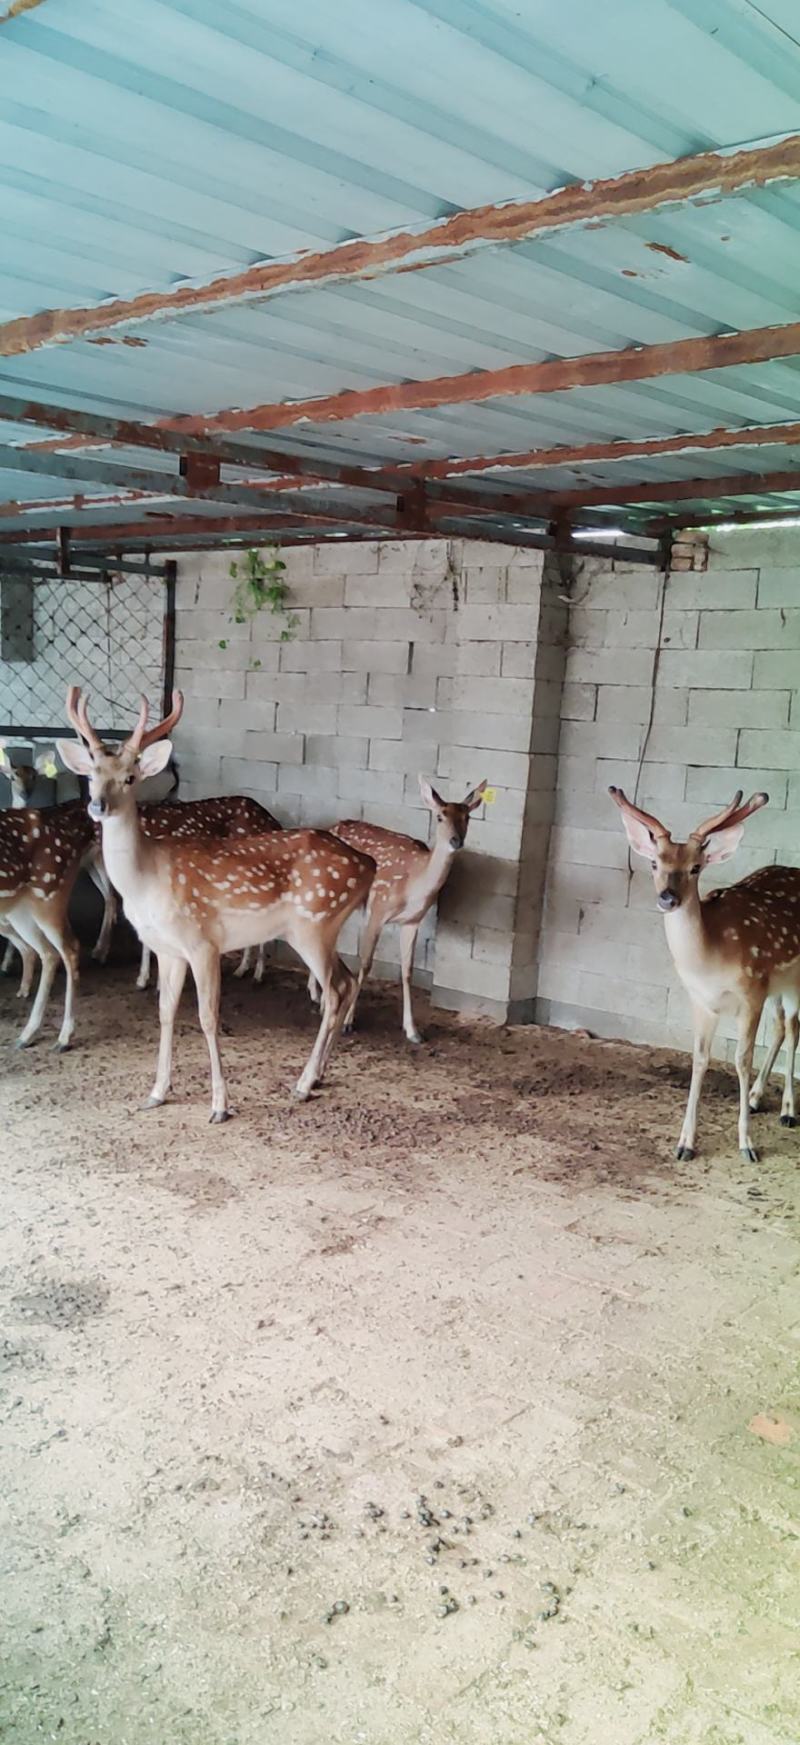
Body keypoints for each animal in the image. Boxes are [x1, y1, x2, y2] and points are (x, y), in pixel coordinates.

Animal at [0, 799, 91, 1050]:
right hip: (21, 910)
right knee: (47, 953)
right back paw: (26, 1034)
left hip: (49, 895)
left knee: (70, 949)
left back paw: (64, 1037)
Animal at [57, 688, 376, 1120]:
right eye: (92, 775)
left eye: (130, 777)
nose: (98, 806)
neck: (147, 880)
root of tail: (369, 864)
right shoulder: (167, 949)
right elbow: (165, 1011)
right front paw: (157, 1092)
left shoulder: (203, 942)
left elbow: (207, 1017)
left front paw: (220, 1104)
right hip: (322, 927)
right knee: (346, 982)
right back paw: (318, 1076)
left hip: (315, 923)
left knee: (337, 988)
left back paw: (304, 1082)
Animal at [303, 775, 487, 1043]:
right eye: (440, 816)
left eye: (468, 817)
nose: (456, 841)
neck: (414, 886)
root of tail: (332, 826)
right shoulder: (378, 910)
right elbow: (366, 964)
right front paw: (348, 1022)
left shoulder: (412, 921)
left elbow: (407, 970)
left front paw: (413, 1031)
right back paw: (320, 997)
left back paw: (319, 996)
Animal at [609, 785, 800, 1163]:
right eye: (655, 863)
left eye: (695, 867)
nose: (667, 898)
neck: (711, 958)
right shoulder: (701, 1000)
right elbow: (699, 1060)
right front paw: (684, 1143)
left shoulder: (751, 992)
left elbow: (742, 1060)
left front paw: (747, 1145)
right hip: (778, 985)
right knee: (782, 1026)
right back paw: (757, 1098)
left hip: (793, 980)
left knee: (794, 1027)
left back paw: (788, 1111)